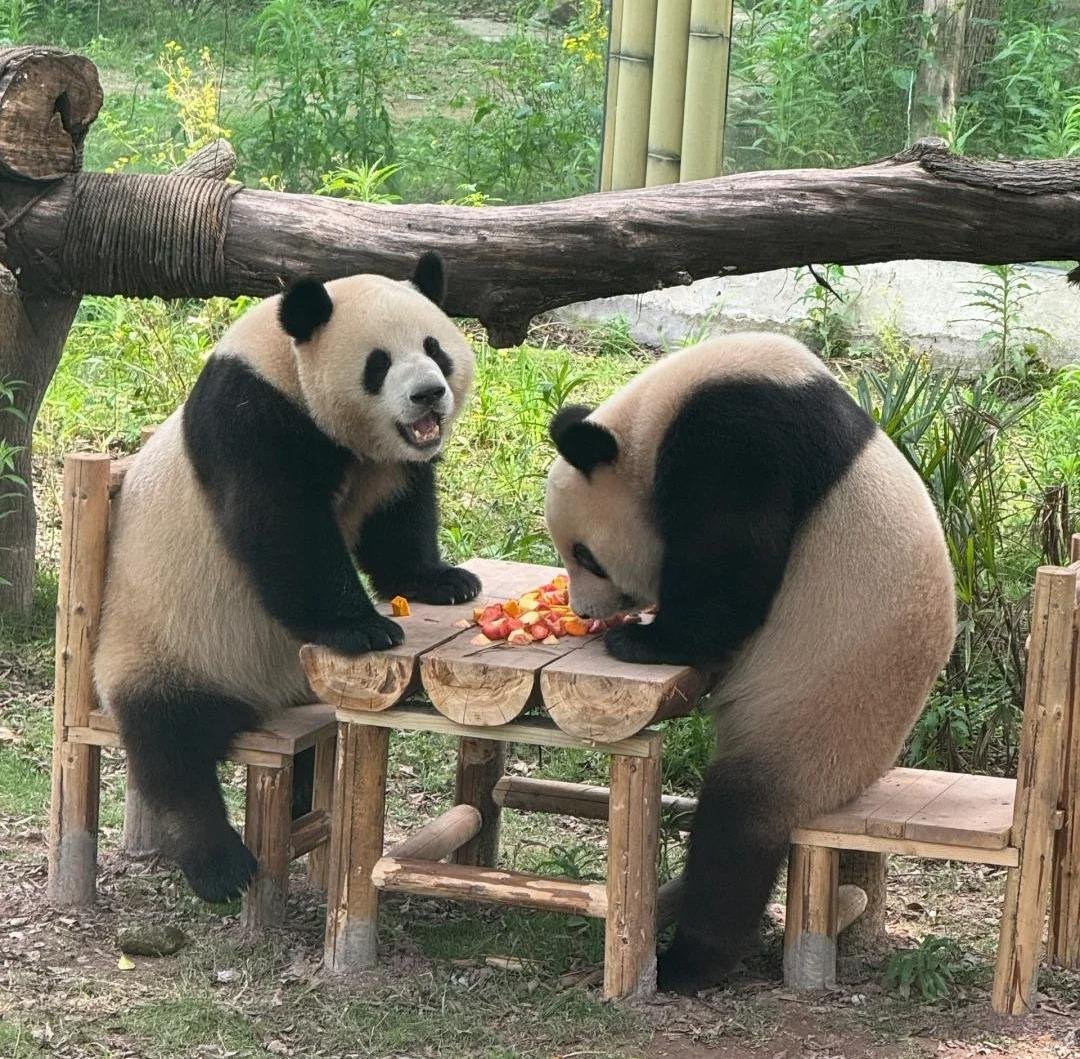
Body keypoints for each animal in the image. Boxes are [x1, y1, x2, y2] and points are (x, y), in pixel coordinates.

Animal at [94, 252, 481, 904]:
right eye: (379, 363)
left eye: (435, 347)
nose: (430, 394)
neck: (285, 360)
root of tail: (259, 702)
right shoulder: (254, 414)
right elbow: (281, 526)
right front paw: (364, 627)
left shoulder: (387, 461)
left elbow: (397, 513)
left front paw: (445, 580)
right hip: (166, 645)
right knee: (171, 746)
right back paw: (219, 865)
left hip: (296, 685)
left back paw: (299, 804)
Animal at [544, 332, 956, 993]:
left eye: (586, 555)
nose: (585, 611)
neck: (653, 417)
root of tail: (858, 783)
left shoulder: (741, 439)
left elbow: (733, 570)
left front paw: (644, 642)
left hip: (808, 719)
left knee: (736, 828)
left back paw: (690, 962)